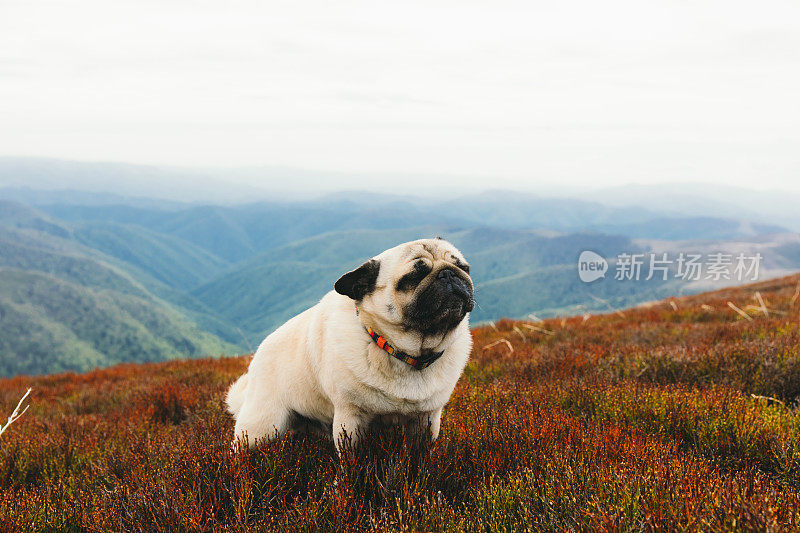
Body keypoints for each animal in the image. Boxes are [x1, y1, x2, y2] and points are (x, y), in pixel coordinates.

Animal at [225, 239, 476, 450]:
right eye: (413, 277)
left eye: (464, 267)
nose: (448, 274)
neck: (407, 354)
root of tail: (258, 353)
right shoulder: (350, 417)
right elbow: (351, 462)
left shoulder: (427, 420)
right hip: (262, 428)